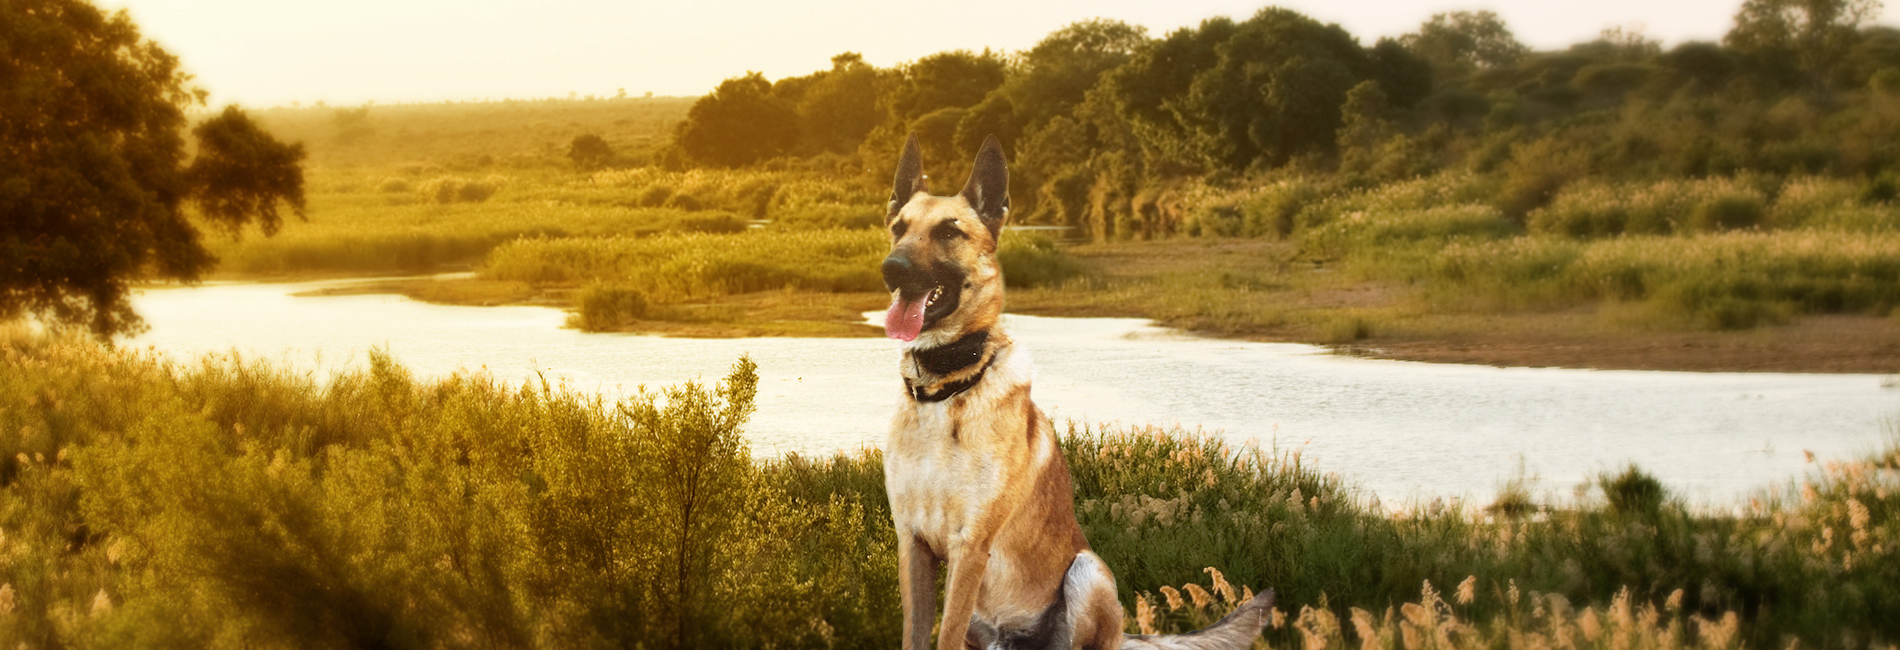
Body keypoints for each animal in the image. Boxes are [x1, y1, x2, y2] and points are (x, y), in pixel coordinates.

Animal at [877, 133, 1269, 650]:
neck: (946, 389)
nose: (892, 268)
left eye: (948, 232)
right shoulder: (913, 545)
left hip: (1087, 571)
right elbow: (916, 634)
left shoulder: (971, 546)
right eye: (898, 228)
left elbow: (945, 635)